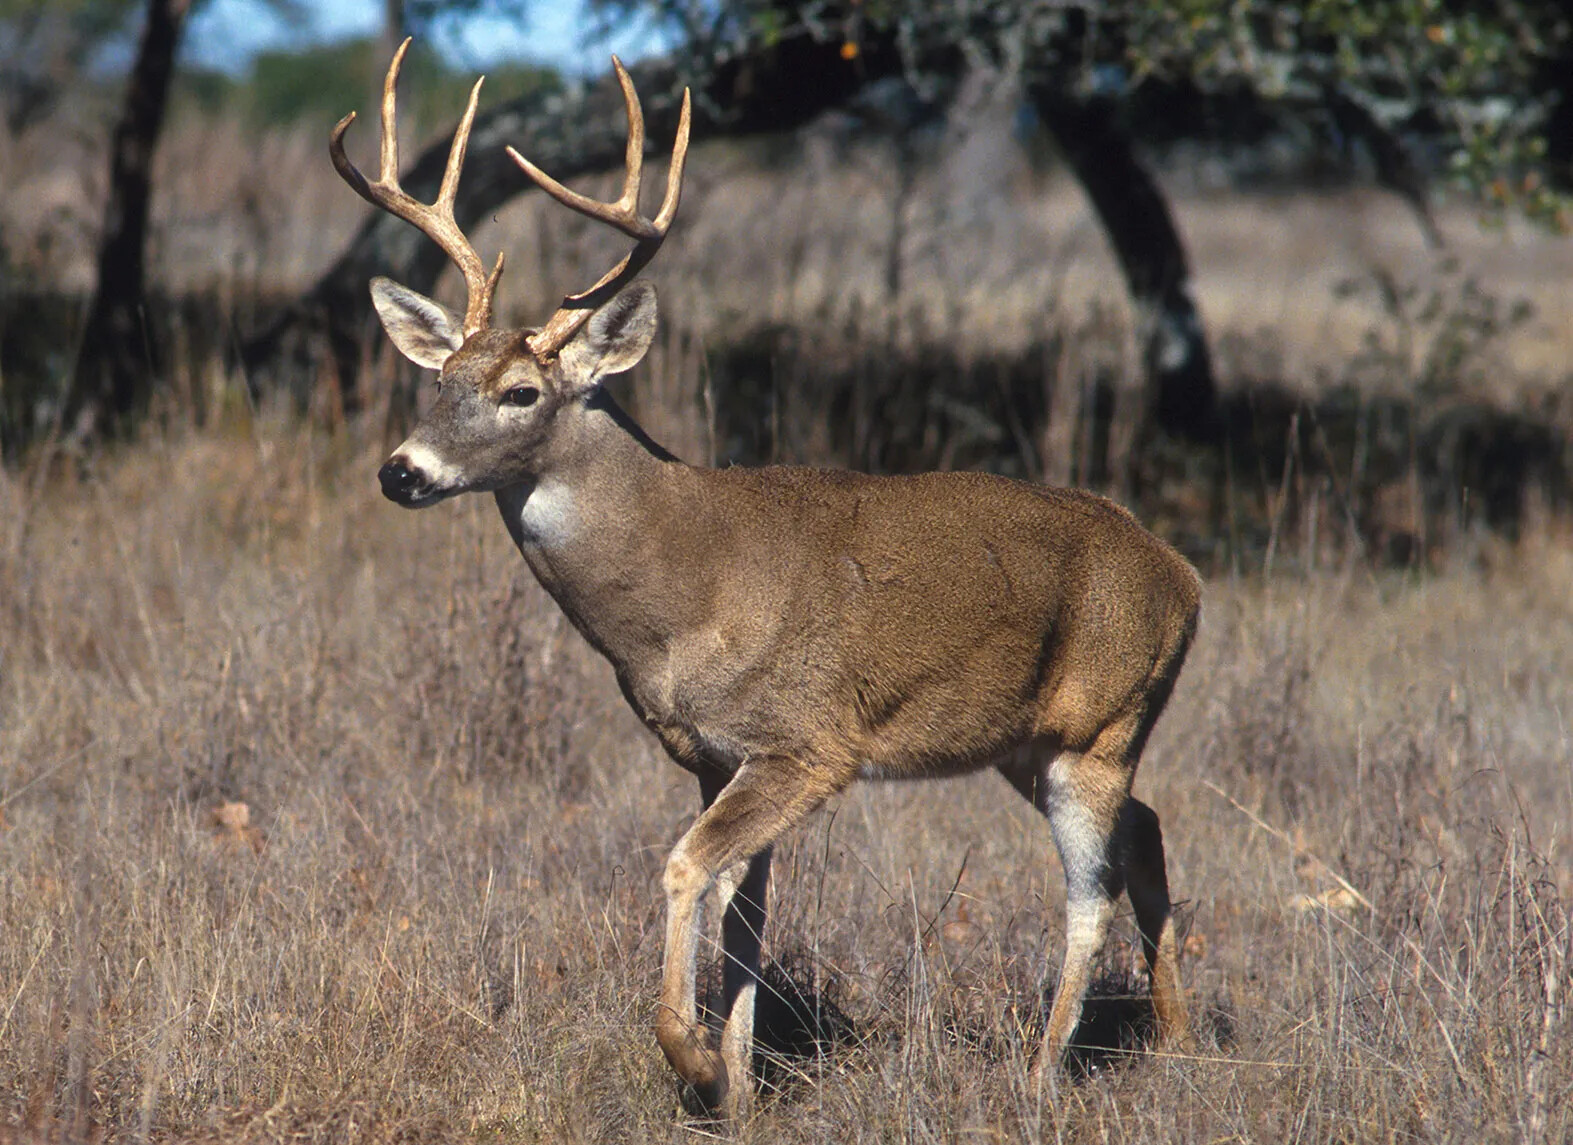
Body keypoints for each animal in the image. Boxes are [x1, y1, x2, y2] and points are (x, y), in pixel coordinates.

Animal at [332, 41, 1201, 1120]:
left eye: (520, 391)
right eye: (439, 379)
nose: (400, 471)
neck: (681, 591)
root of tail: (1183, 576)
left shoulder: (807, 741)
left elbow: (684, 867)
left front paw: (694, 1059)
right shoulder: (715, 753)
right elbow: (744, 911)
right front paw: (740, 1085)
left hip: (1100, 724)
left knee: (1090, 888)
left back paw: (1040, 1076)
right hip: (1030, 739)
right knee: (1147, 831)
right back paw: (1175, 1041)